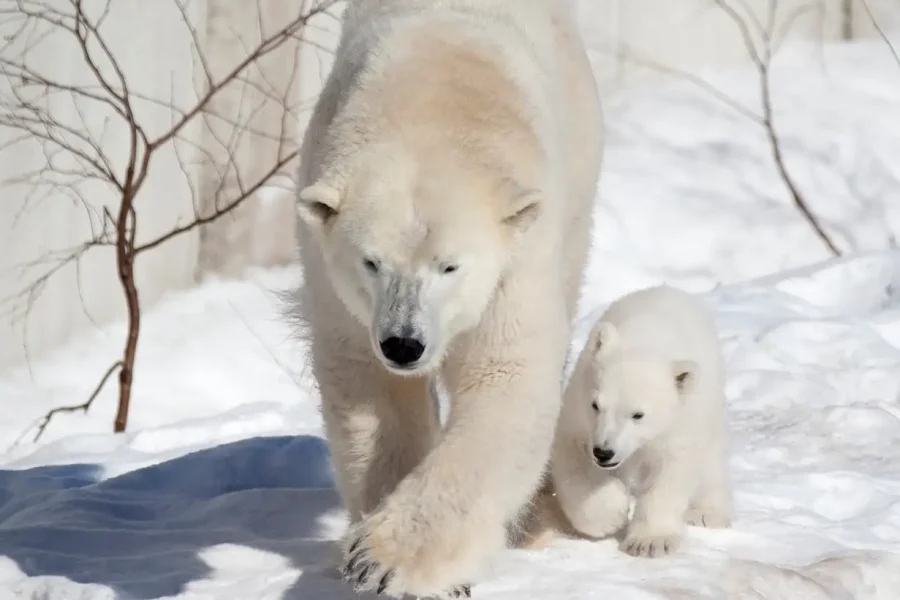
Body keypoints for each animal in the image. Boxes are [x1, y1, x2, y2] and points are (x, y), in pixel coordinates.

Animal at [284, 1, 600, 596]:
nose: (404, 344)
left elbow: (506, 377)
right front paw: (368, 550)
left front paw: (388, 560)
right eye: (371, 262)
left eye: (450, 266)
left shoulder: (519, 253)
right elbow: (373, 390)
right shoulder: (333, 277)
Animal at [548, 284, 732, 556]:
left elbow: (671, 471)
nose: (603, 453)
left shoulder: (680, 422)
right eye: (596, 405)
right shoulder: (578, 412)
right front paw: (611, 515)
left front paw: (650, 541)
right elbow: (572, 457)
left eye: (638, 415)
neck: (646, 341)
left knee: (711, 462)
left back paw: (707, 513)